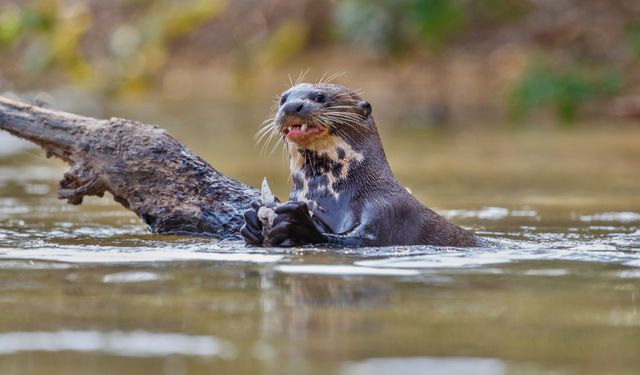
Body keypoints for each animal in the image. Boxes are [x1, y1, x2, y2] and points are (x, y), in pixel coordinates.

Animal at [240, 83, 480, 248]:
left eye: (320, 97)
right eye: (282, 99)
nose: (291, 106)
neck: (332, 193)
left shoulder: (389, 211)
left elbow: (358, 240)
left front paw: (295, 223)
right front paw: (253, 221)